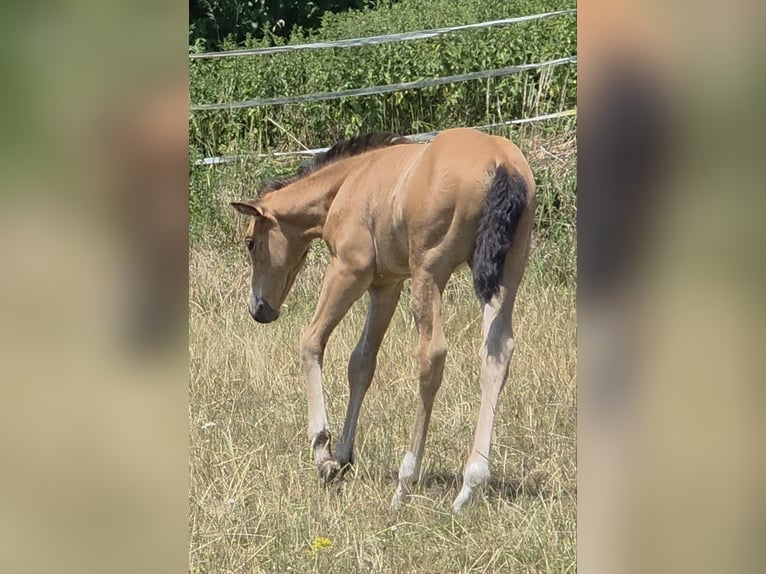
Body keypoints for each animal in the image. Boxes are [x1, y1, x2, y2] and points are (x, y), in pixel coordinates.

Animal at [232, 128, 535, 512]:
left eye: (251, 242)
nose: (260, 310)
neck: (350, 182)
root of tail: (501, 163)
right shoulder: (386, 284)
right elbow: (361, 362)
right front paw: (342, 458)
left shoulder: (350, 269)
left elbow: (311, 341)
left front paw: (323, 454)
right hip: (508, 271)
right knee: (497, 352)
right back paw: (470, 485)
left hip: (429, 271)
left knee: (432, 355)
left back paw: (406, 482)